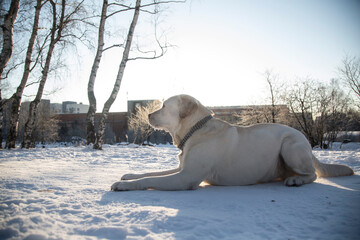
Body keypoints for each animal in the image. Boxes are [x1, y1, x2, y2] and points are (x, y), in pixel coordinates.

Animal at [111, 94, 352, 190]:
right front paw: (129, 175)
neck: (196, 131)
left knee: (312, 174)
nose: (148, 115)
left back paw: (296, 180)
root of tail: (304, 139)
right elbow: (150, 173)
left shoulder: (186, 177)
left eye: (163, 106)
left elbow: (150, 179)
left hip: (290, 146)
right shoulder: (182, 168)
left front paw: (123, 185)